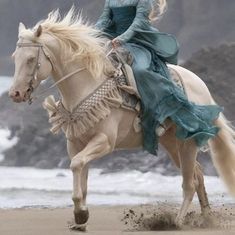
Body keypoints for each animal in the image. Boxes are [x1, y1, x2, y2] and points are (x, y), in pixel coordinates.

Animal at [9, 8, 235, 229]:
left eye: (31, 59)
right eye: (14, 57)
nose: (15, 93)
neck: (86, 84)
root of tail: (201, 85)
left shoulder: (104, 141)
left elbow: (76, 164)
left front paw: (80, 213)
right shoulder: (75, 143)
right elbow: (81, 174)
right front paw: (80, 218)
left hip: (187, 142)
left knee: (190, 182)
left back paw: (177, 221)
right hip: (171, 142)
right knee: (197, 174)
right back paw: (206, 217)